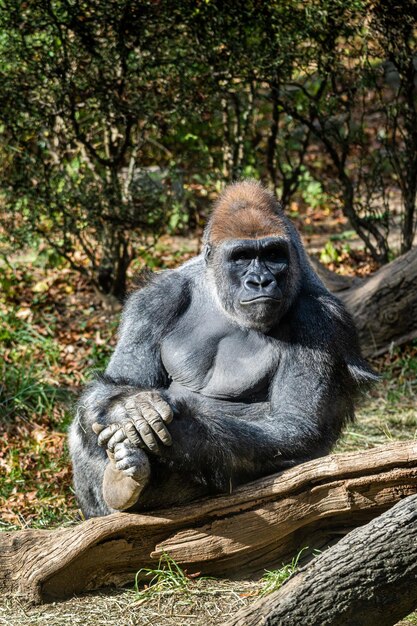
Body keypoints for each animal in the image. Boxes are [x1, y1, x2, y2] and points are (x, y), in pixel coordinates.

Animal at [70, 180, 376, 516]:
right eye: (241, 257)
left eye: (273, 254)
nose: (260, 281)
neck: (222, 300)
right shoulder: (156, 299)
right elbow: (120, 383)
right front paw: (128, 407)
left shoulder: (319, 318)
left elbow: (296, 424)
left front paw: (183, 432)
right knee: (86, 420)